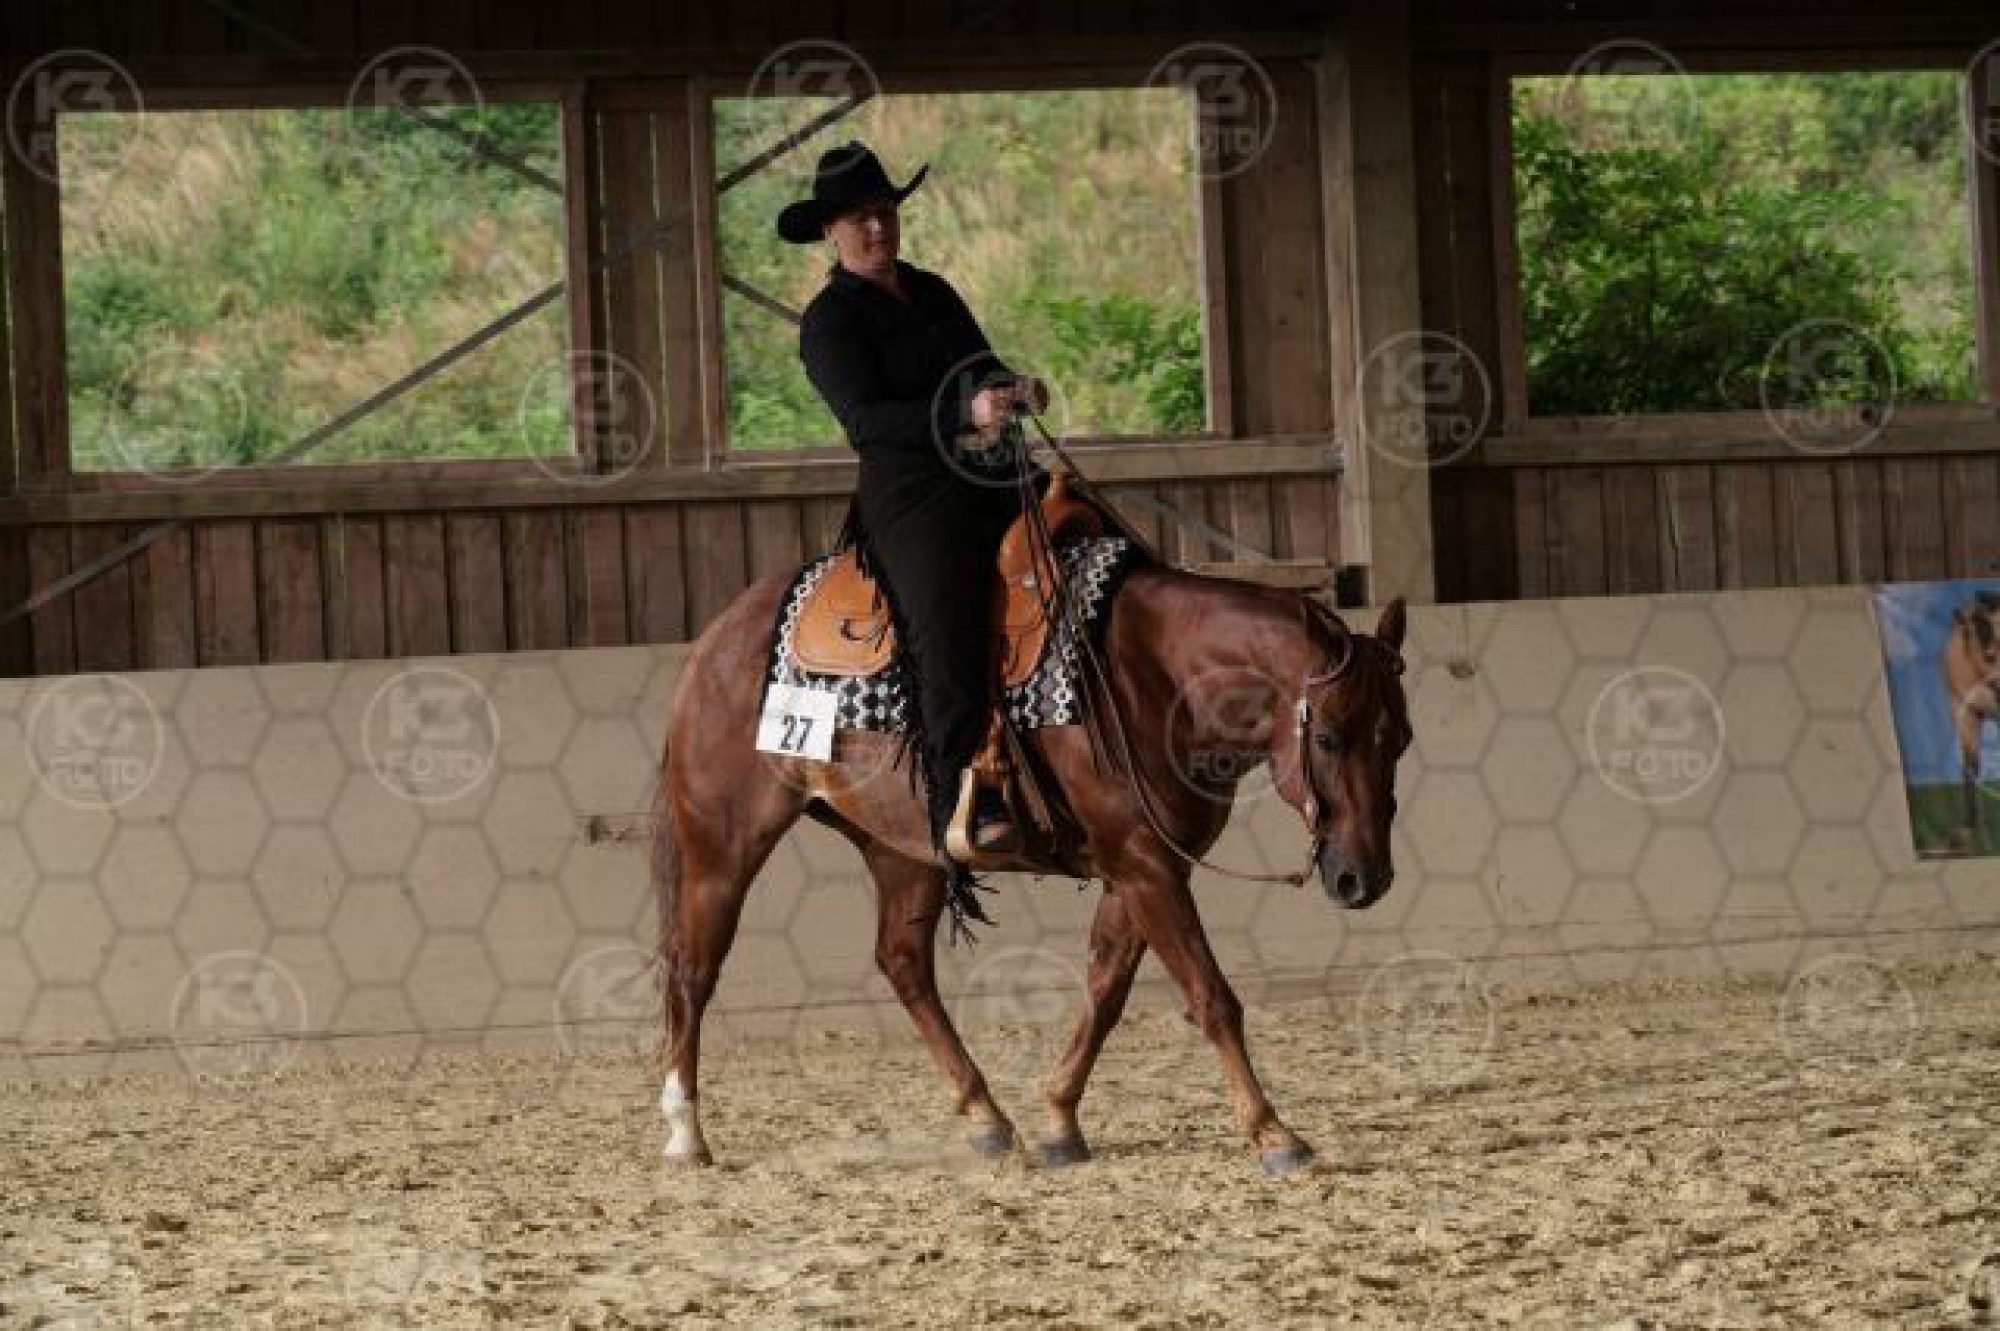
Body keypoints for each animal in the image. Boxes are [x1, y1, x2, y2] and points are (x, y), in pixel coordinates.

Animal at [648, 539, 1411, 1176]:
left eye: (1399, 737)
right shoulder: (1145, 865)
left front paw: (1060, 1119)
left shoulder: (1139, 868)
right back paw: (686, 1132)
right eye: (1330, 738)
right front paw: (1274, 1132)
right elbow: (1210, 996)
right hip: (722, 846)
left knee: (902, 961)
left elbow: (1106, 989)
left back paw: (986, 1115)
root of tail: (714, 638)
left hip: (902, 849)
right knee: (692, 969)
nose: (1363, 877)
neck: (1155, 674)